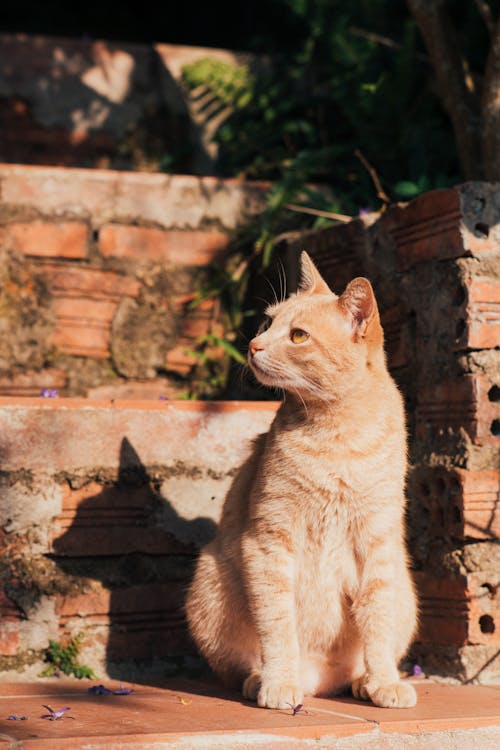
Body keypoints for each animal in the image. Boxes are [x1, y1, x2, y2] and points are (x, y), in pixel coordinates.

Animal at [186, 253, 416, 712]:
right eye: (267, 322)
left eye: (298, 336)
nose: (254, 346)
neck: (336, 436)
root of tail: (321, 682)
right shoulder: (269, 540)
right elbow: (277, 623)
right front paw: (279, 680)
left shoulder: (378, 544)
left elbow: (378, 620)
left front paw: (384, 680)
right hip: (210, 577)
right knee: (242, 664)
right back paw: (263, 679)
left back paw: (362, 680)